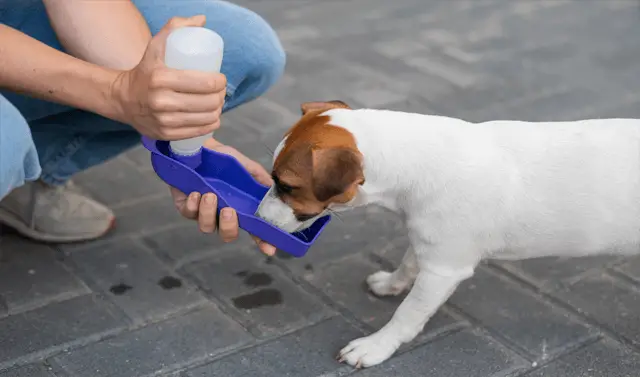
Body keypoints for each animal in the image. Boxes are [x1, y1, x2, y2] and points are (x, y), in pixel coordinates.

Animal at [255, 100, 640, 368]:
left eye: (286, 185)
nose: (257, 217)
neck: (414, 162)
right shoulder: (429, 242)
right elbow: (408, 263)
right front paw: (392, 284)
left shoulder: (444, 269)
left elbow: (408, 313)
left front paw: (377, 345)